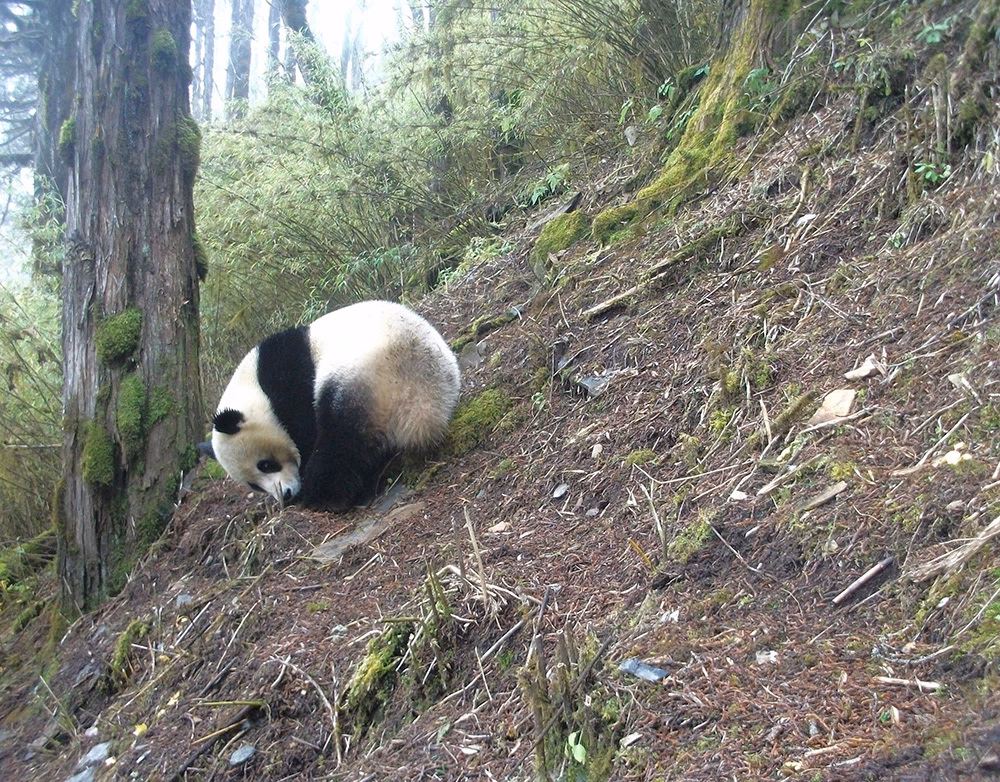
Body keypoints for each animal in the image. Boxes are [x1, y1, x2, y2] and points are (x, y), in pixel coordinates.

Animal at [200, 300, 460, 511]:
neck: (254, 388)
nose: (287, 495)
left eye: (265, 465)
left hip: (360, 378)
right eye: (254, 485)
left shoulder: (290, 383)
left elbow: (304, 430)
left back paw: (323, 495)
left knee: (342, 441)